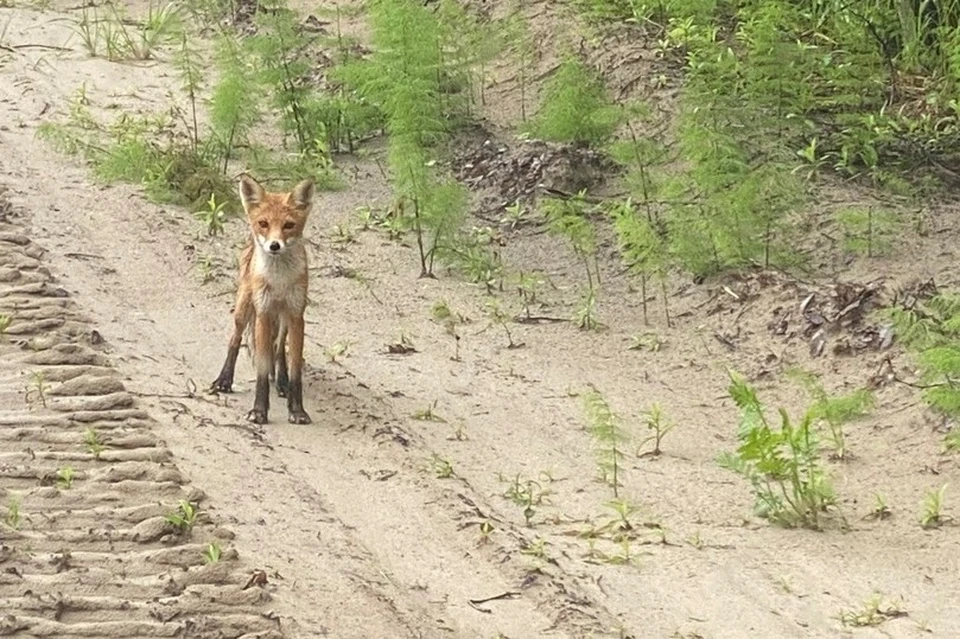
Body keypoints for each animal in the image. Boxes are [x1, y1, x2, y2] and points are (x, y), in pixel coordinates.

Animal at [210, 172, 316, 428]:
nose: (274, 245)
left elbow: (295, 370)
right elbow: (261, 370)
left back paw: (281, 382)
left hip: (284, 319)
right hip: (245, 308)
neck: (279, 283)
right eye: (264, 223)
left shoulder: (296, 316)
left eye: (288, 225)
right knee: (235, 340)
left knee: (278, 349)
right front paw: (258, 411)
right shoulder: (264, 313)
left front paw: (297, 410)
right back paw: (224, 380)